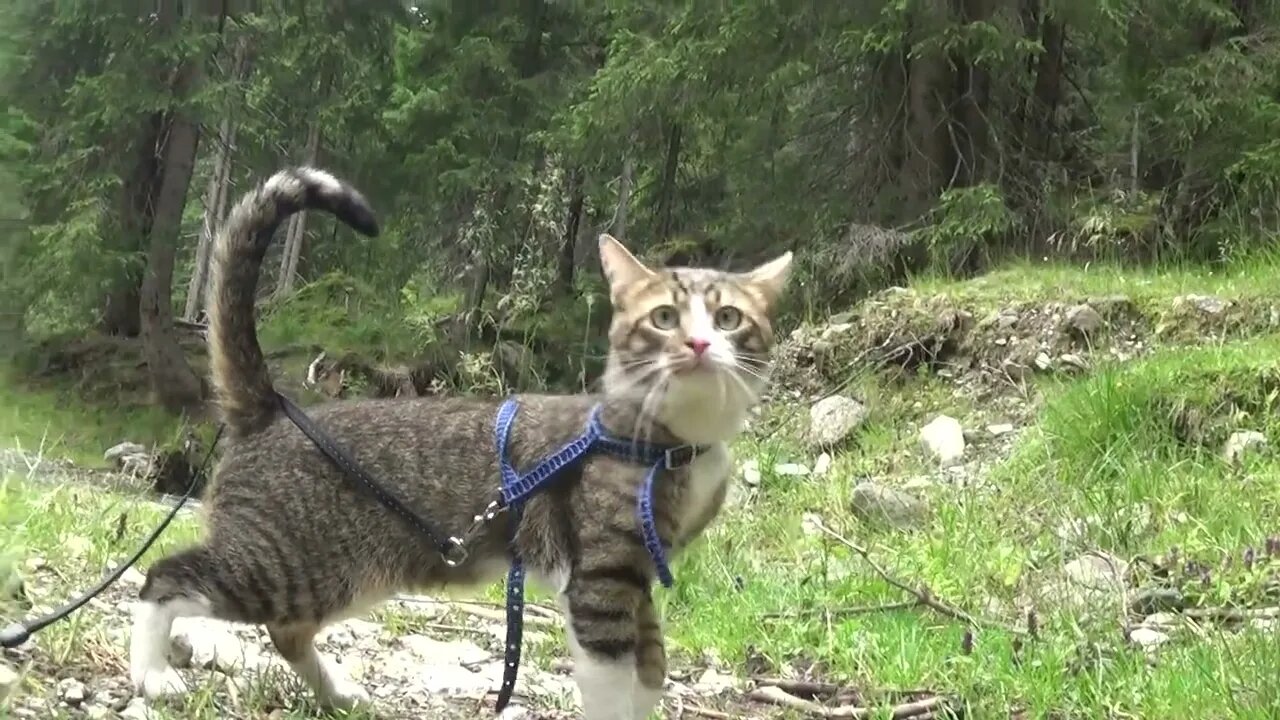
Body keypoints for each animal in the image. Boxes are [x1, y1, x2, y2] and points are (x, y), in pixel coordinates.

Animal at [129, 165, 788, 712]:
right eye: (664, 319)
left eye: (728, 319)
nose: (698, 345)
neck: (671, 442)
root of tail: (271, 409)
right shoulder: (599, 581)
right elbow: (611, 684)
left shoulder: (640, 582)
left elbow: (649, 671)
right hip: (282, 563)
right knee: (165, 577)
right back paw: (153, 675)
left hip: (340, 576)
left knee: (286, 630)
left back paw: (338, 693)